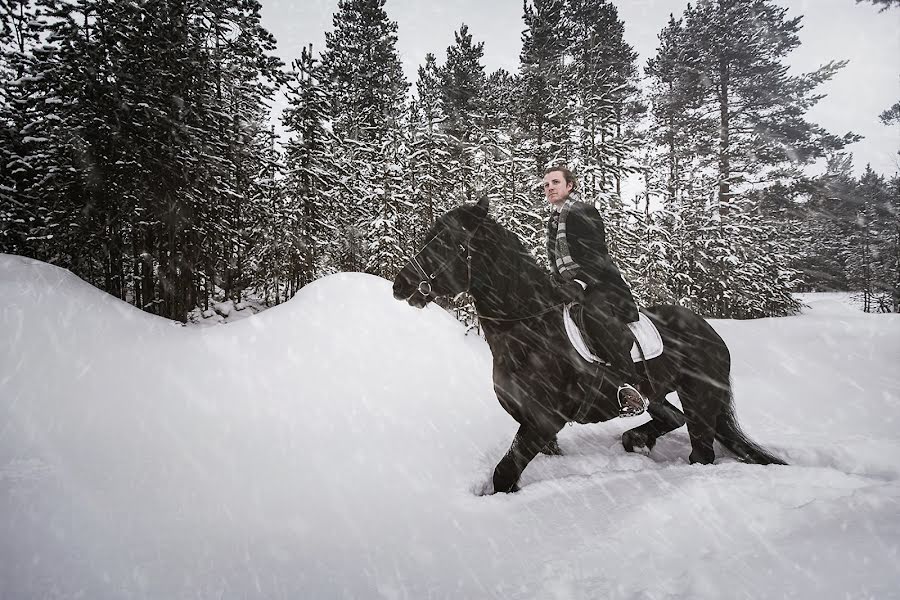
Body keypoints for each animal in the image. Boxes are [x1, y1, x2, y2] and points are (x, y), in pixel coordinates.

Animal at [390, 197, 784, 492]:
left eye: (445, 241)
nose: (400, 285)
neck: (530, 326)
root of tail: (711, 332)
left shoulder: (545, 420)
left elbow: (504, 474)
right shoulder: (532, 421)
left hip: (699, 396)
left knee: (700, 451)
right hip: (660, 393)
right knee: (671, 418)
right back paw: (636, 439)